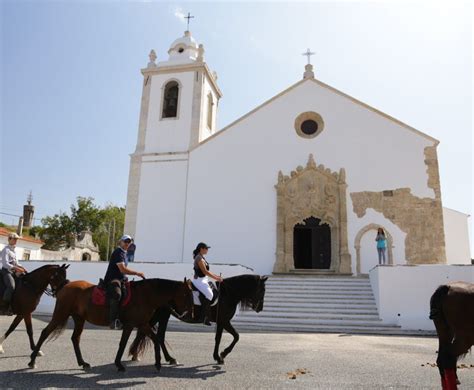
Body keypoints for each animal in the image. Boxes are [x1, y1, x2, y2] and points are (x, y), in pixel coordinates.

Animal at [27, 278, 194, 372]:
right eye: (186, 294)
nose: (189, 313)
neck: (145, 296)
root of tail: (66, 286)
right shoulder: (130, 325)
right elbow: (123, 343)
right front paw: (119, 364)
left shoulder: (142, 324)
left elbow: (156, 339)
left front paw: (159, 363)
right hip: (61, 314)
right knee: (45, 333)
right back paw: (32, 361)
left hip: (79, 318)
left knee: (75, 339)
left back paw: (83, 363)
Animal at [130, 274, 268, 366]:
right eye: (262, 290)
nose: (260, 308)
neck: (227, 294)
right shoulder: (224, 321)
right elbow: (236, 336)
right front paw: (223, 354)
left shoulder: (221, 322)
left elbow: (218, 338)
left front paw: (218, 357)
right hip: (162, 315)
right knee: (152, 334)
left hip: (163, 316)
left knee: (151, 334)